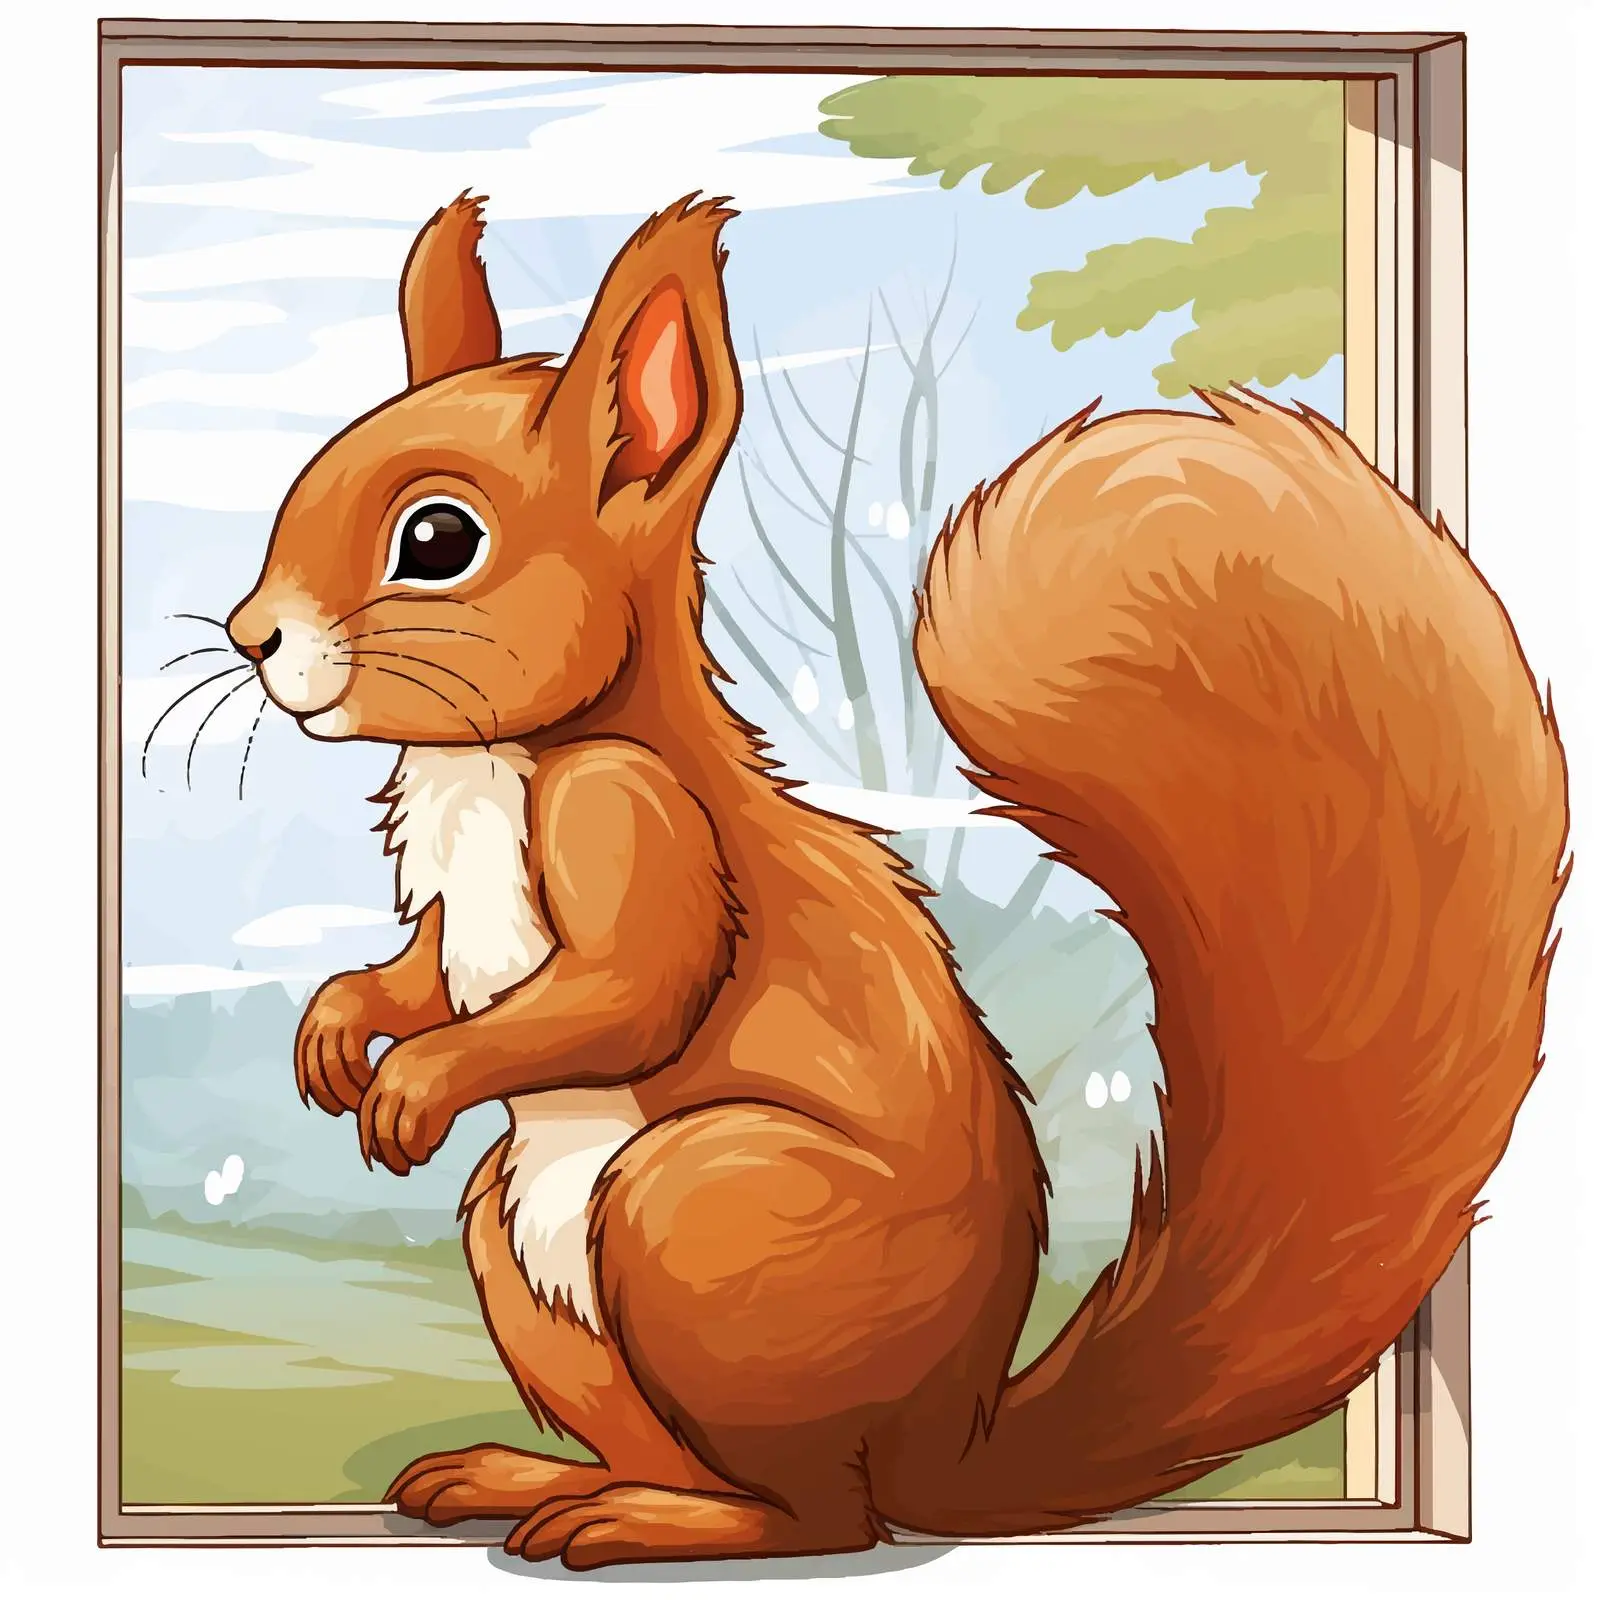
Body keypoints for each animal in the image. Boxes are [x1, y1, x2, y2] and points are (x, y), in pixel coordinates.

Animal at [227, 192, 1568, 1567]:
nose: (249, 634)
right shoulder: (460, 909)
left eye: (439, 539)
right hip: (531, 1244)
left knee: (815, 1513)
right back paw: (535, 1476)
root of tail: (943, 1443)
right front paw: (342, 1024)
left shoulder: (634, 815)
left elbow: (632, 990)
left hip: (699, 1212)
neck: (498, 759)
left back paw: (657, 1518)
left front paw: (418, 1081)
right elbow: (425, 969)